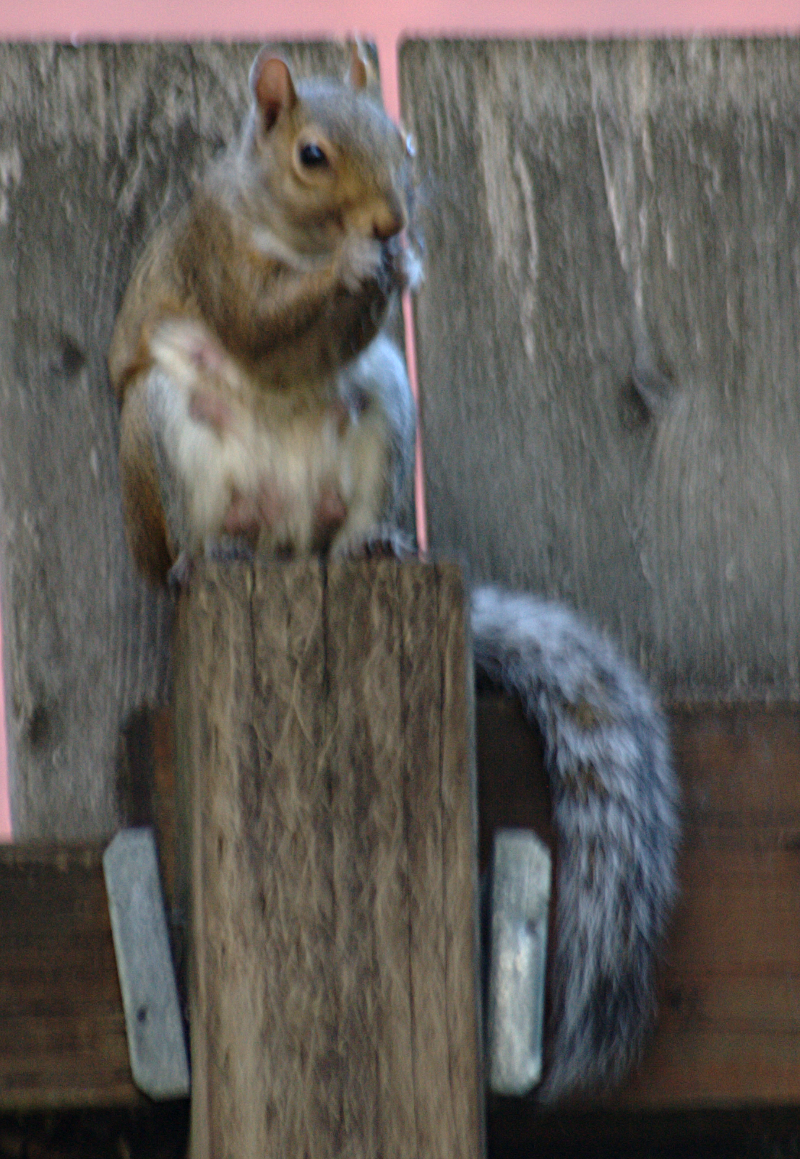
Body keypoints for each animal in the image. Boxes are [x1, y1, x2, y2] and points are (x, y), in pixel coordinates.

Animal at [108, 46, 418, 582]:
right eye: (312, 156)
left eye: (401, 141)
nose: (391, 223)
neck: (306, 245)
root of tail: (282, 527)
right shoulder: (214, 245)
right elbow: (254, 323)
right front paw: (351, 263)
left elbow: (325, 348)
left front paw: (401, 263)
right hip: (162, 425)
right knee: (192, 530)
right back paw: (210, 552)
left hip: (386, 404)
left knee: (355, 518)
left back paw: (369, 541)